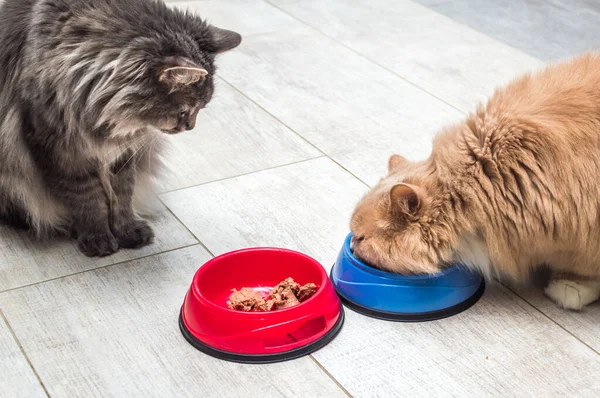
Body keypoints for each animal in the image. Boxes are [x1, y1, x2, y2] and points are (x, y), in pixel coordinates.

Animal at [0, 0, 239, 258]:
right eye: (185, 111)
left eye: (201, 108)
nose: (190, 127)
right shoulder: (60, 151)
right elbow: (87, 198)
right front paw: (98, 237)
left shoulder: (123, 154)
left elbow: (122, 194)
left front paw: (128, 231)